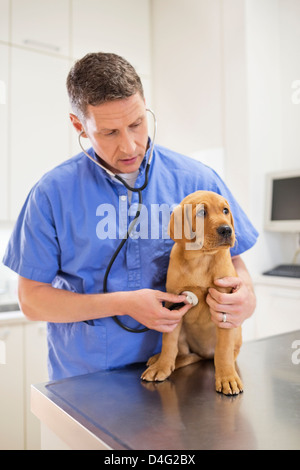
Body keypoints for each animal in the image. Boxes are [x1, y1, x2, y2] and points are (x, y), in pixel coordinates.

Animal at [141, 189, 244, 394]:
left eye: (225, 210)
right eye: (202, 213)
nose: (227, 229)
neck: (201, 259)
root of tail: (204, 353)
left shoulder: (224, 302)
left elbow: (223, 350)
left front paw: (227, 377)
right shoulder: (174, 302)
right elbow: (168, 341)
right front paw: (162, 367)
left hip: (236, 331)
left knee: (222, 353)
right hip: (184, 335)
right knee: (183, 353)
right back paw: (160, 360)